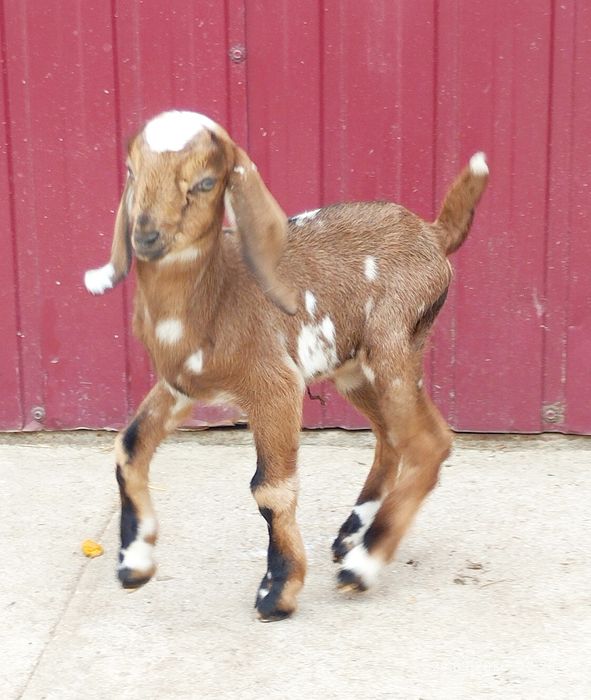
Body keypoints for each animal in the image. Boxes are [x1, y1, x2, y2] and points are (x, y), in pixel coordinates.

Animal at [85, 110, 488, 621]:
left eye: (205, 181)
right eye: (132, 171)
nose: (146, 236)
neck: (216, 294)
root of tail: (434, 234)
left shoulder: (275, 385)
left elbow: (270, 489)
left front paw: (277, 591)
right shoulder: (181, 386)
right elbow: (130, 446)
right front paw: (134, 562)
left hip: (392, 347)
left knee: (429, 443)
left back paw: (363, 564)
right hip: (353, 367)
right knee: (391, 436)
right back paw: (352, 533)